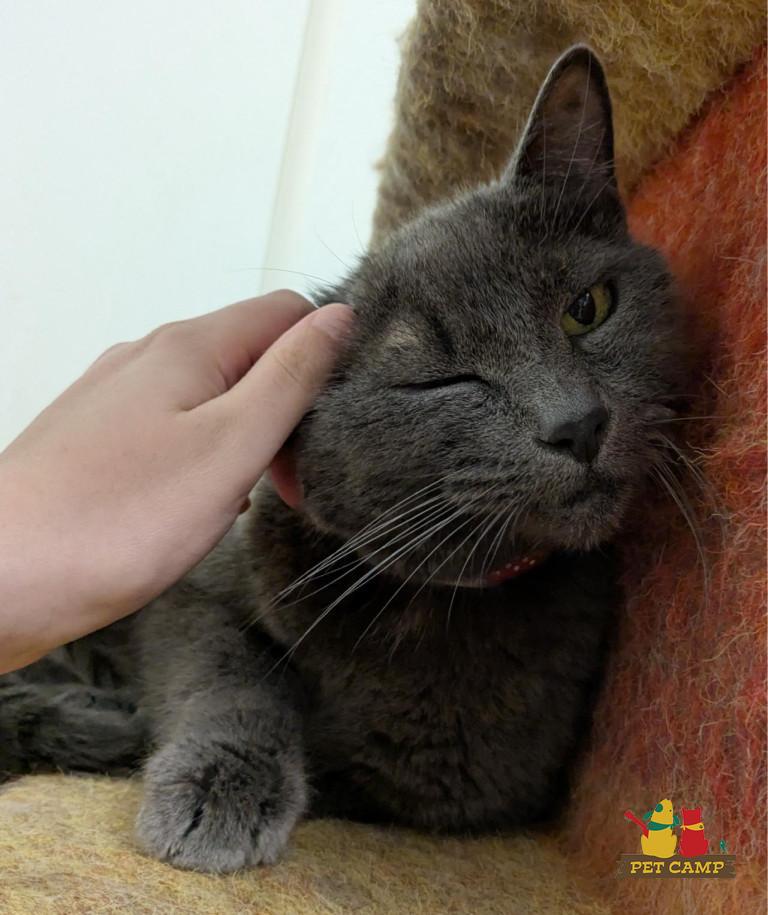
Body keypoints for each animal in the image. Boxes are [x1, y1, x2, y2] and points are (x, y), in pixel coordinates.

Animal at [0, 46, 690, 873]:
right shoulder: (194, 587)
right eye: (440, 381)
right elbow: (230, 678)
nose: (577, 423)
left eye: (586, 309)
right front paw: (218, 791)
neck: (436, 608)